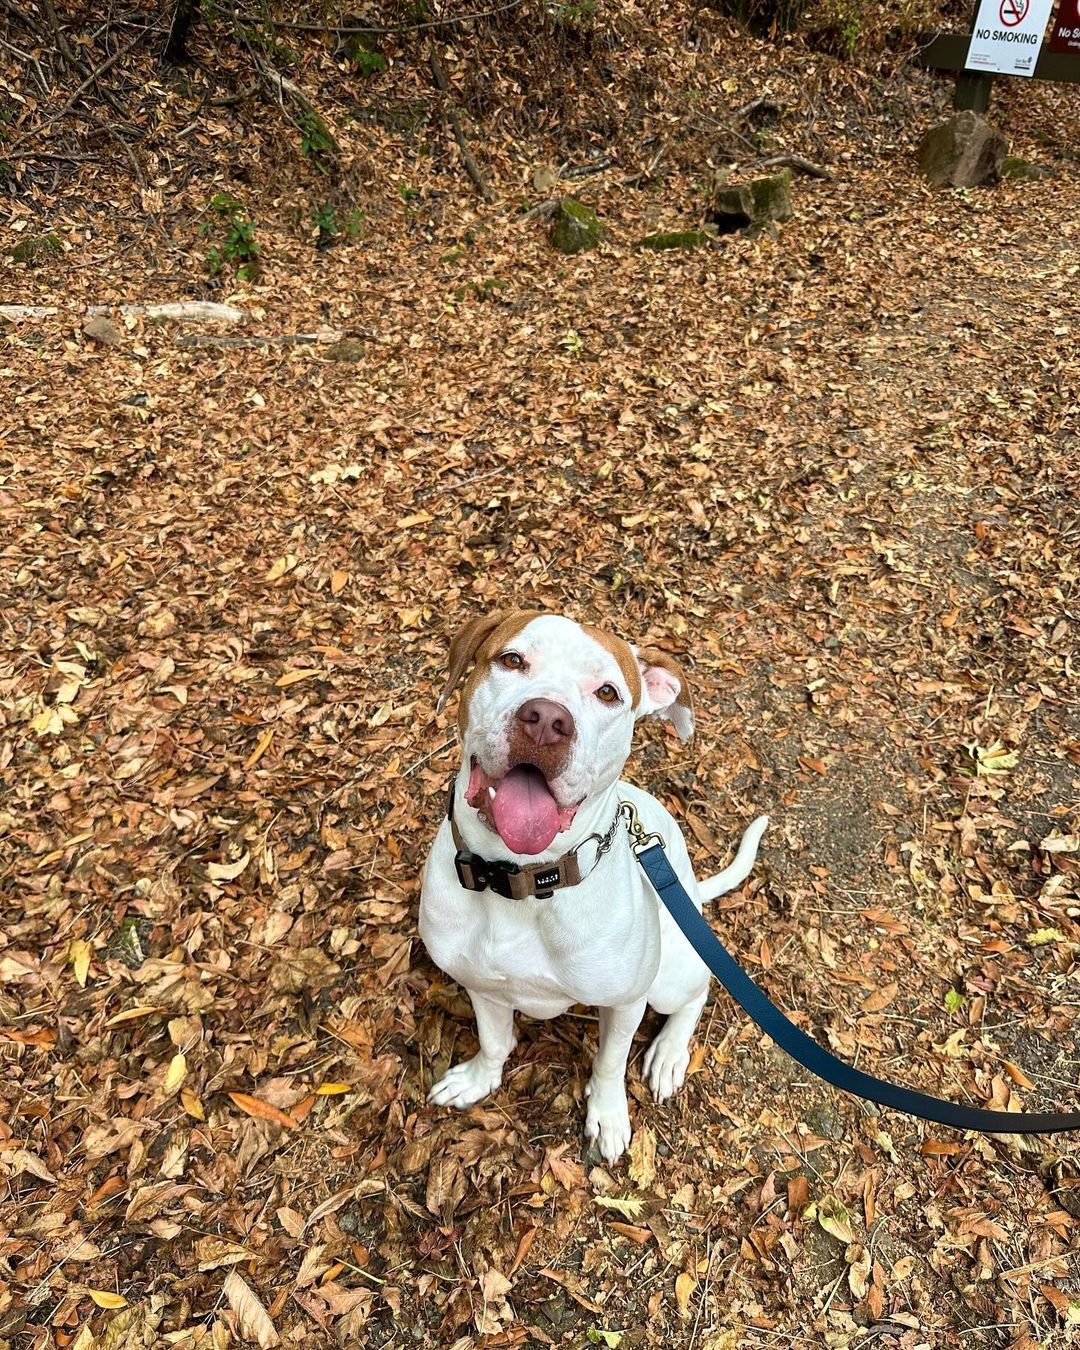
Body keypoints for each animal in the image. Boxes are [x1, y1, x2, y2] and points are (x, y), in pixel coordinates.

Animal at [418, 612, 761, 1161]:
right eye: (511, 660)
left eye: (607, 692)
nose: (545, 719)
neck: (524, 879)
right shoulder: (481, 985)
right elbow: (494, 1041)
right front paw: (477, 1079)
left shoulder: (625, 1003)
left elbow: (609, 1063)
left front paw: (608, 1114)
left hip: (670, 976)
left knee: (698, 993)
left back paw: (669, 1053)